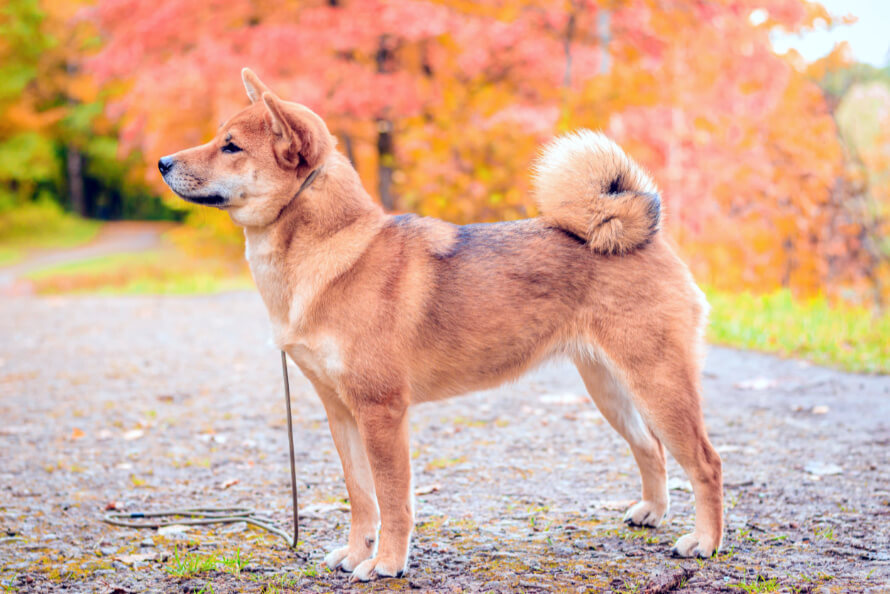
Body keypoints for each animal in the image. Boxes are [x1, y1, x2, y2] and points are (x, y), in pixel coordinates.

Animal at [160, 68, 720, 580]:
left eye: (231, 146)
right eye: (219, 138)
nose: (163, 162)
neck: (330, 252)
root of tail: (643, 236)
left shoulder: (382, 412)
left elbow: (392, 501)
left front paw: (386, 564)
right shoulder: (340, 412)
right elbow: (361, 497)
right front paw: (357, 554)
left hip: (658, 385)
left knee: (705, 463)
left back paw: (706, 542)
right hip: (609, 388)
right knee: (651, 449)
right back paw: (652, 513)